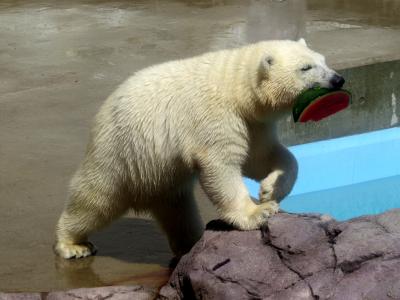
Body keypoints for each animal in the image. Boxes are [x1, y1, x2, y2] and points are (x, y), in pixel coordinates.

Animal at [54, 38, 346, 258]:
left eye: (323, 60)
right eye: (306, 67)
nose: (338, 79)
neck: (237, 90)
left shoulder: (253, 123)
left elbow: (263, 156)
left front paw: (269, 189)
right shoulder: (214, 116)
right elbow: (221, 165)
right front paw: (258, 212)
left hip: (163, 175)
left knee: (179, 211)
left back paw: (190, 243)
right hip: (121, 151)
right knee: (95, 198)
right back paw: (73, 244)